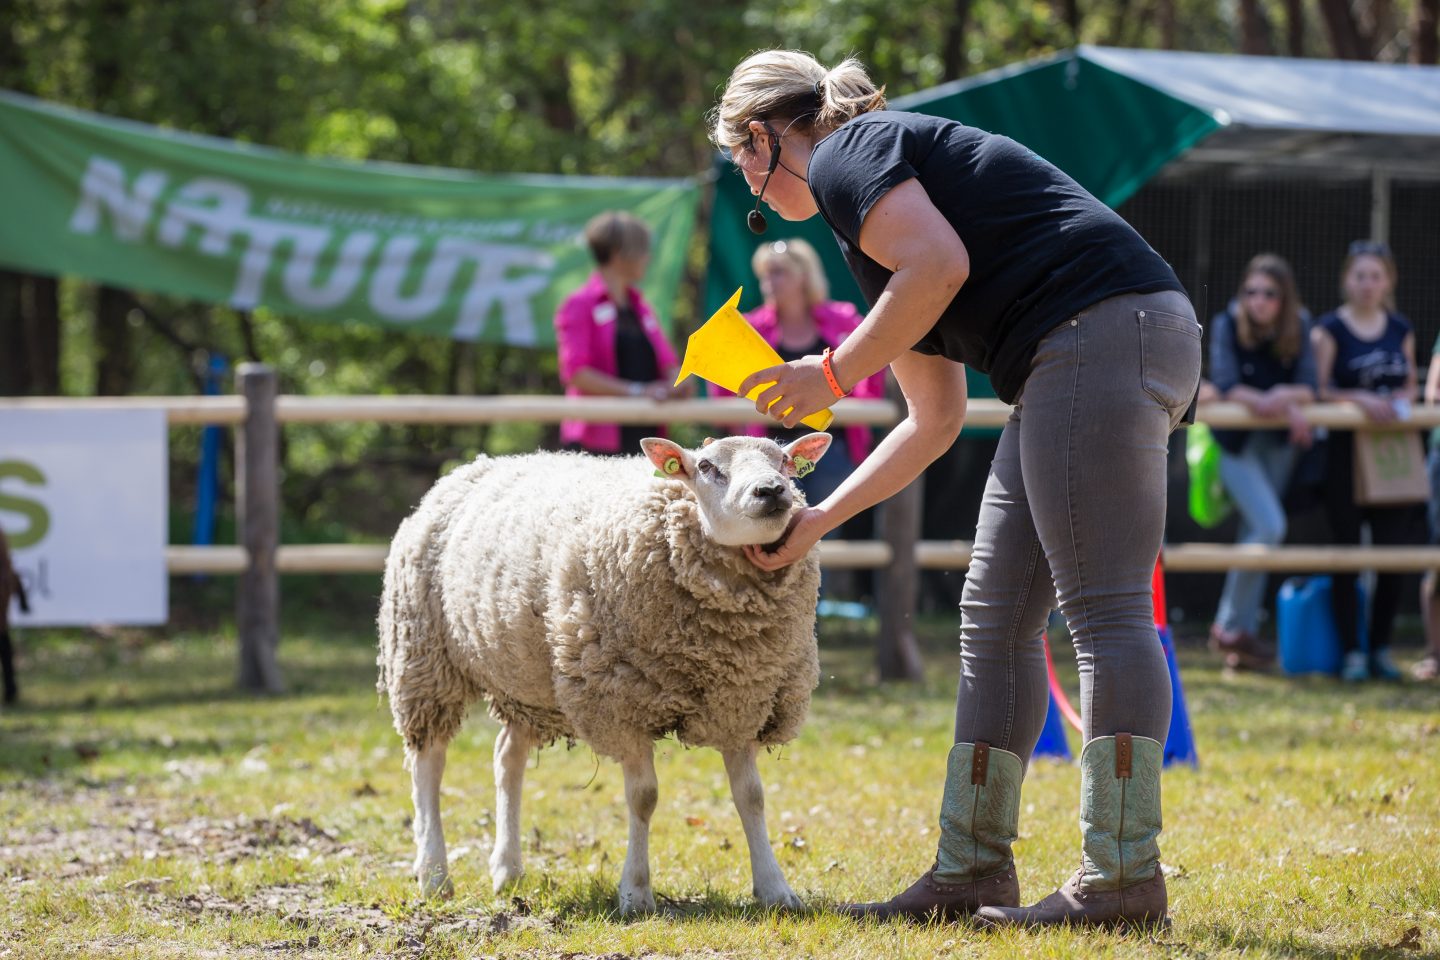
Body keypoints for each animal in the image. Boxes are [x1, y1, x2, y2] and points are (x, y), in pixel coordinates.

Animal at [377, 431, 835, 915]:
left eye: (783, 461)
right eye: (707, 467)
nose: (772, 491)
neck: (717, 641)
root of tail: (472, 466)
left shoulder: (742, 699)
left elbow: (751, 796)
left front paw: (775, 888)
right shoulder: (621, 702)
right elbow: (644, 797)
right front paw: (635, 892)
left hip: (529, 681)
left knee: (506, 757)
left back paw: (507, 869)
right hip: (422, 656)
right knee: (428, 764)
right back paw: (434, 874)